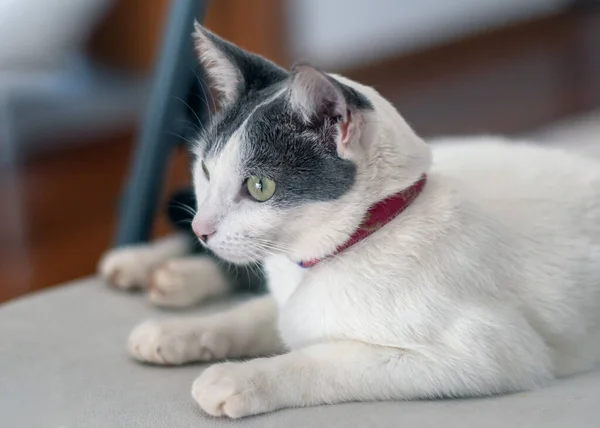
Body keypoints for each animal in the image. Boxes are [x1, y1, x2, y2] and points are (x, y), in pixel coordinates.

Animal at [98, 24, 600, 418]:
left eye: (259, 186)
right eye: (205, 168)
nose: (202, 229)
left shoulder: (490, 352)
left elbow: (327, 359)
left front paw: (240, 379)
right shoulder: (290, 301)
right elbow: (258, 314)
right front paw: (178, 333)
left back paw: (171, 273)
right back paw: (146, 264)